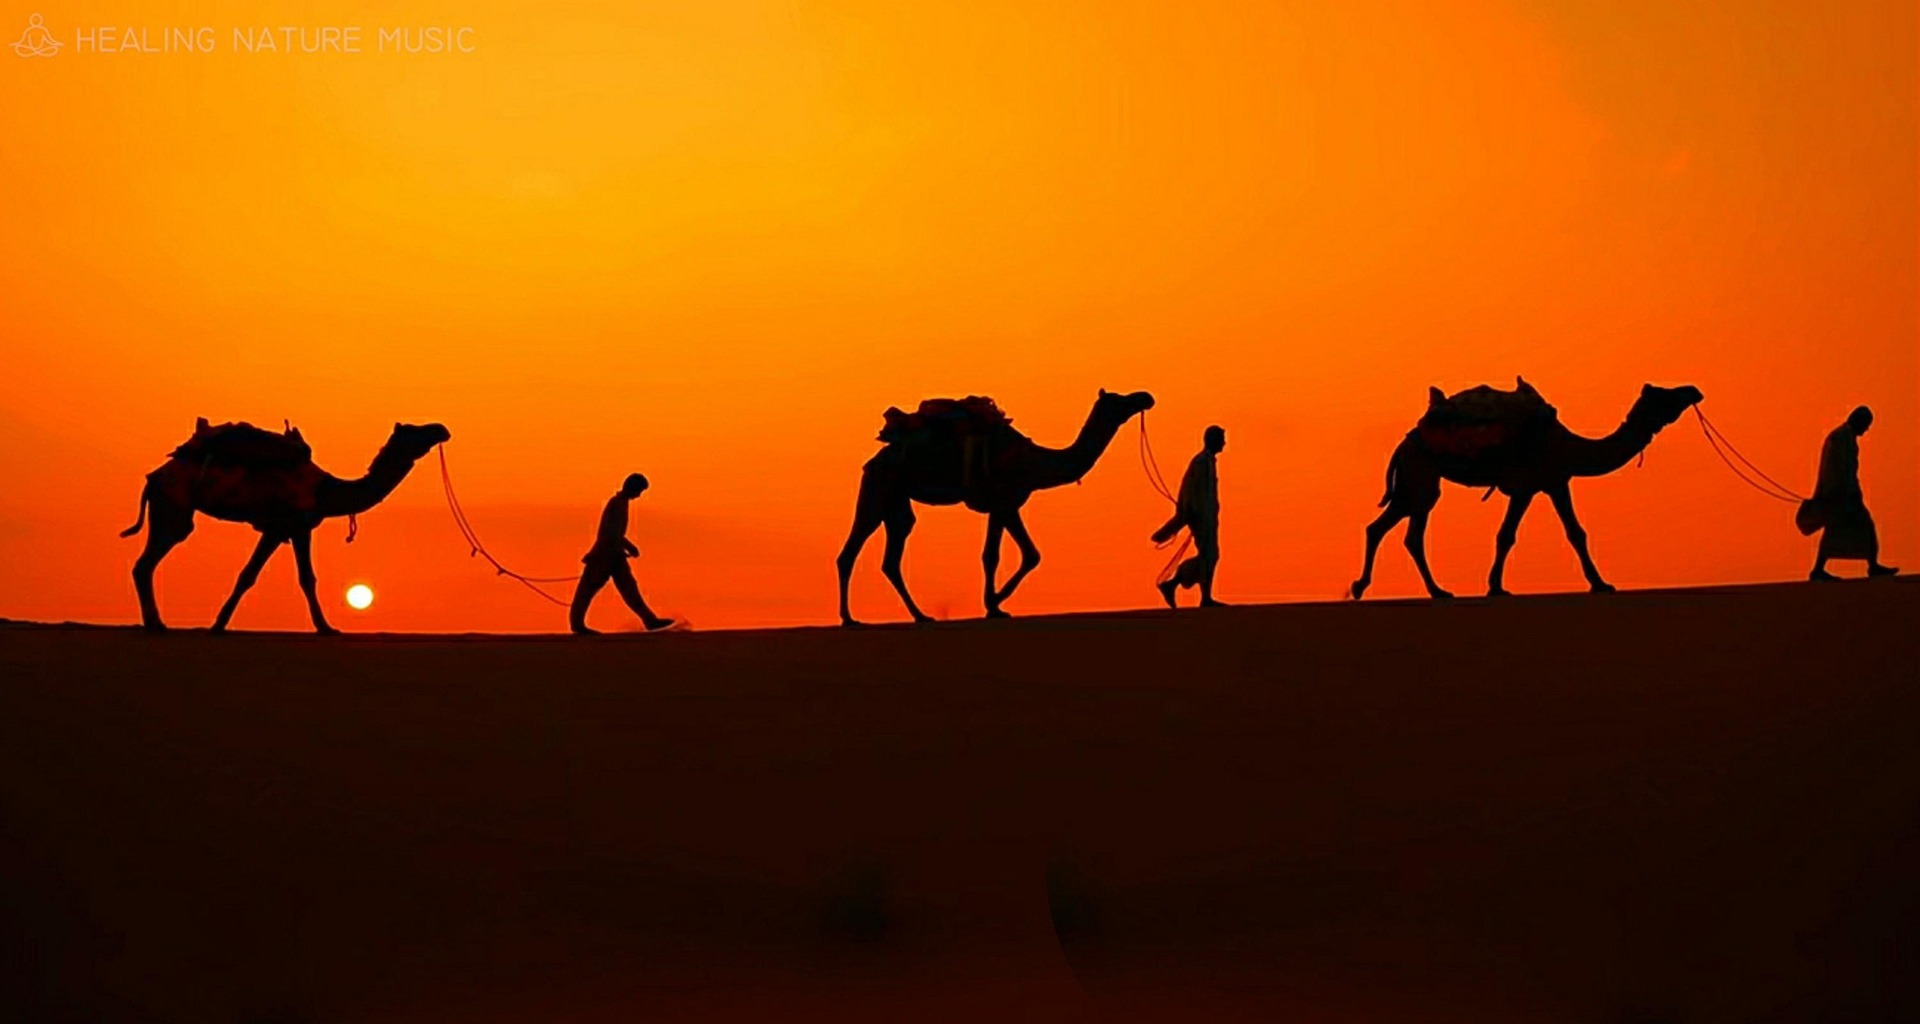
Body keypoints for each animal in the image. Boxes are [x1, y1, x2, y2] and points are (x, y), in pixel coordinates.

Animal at [123, 420, 451, 633]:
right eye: (414, 431)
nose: (441, 429)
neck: (326, 491)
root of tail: (153, 478)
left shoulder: (284, 529)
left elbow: (261, 575)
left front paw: (218, 624)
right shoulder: (291, 525)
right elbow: (291, 577)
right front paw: (326, 628)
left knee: (145, 564)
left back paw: (155, 623)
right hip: (173, 508)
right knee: (145, 563)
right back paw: (155, 624)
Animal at [836, 389, 1156, 625]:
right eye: (1118, 400)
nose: (1145, 397)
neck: (1033, 462)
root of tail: (872, 461)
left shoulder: (1006, 505)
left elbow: (1018, 555)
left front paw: (995, 604)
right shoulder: (1003, 501)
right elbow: (1005, 555)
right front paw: (994, 604)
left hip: (897, 503)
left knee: (892, 556)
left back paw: (921, 615)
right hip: (877, 489)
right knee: (850, 551)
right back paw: (850, 619)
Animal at [1350, 381, 1702, 600]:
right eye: (1665, 395)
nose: (1693, 391)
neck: (1571, 447)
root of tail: (1404, 442)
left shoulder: (1549, 483)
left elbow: (1565, 533)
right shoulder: (1536, 484)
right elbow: (1519, 535)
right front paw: (1601, 584)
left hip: (1415, 482)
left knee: (1391, 529)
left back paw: (1399, 589)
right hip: (1420, 475)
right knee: (1403, 530)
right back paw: (1414, 590)